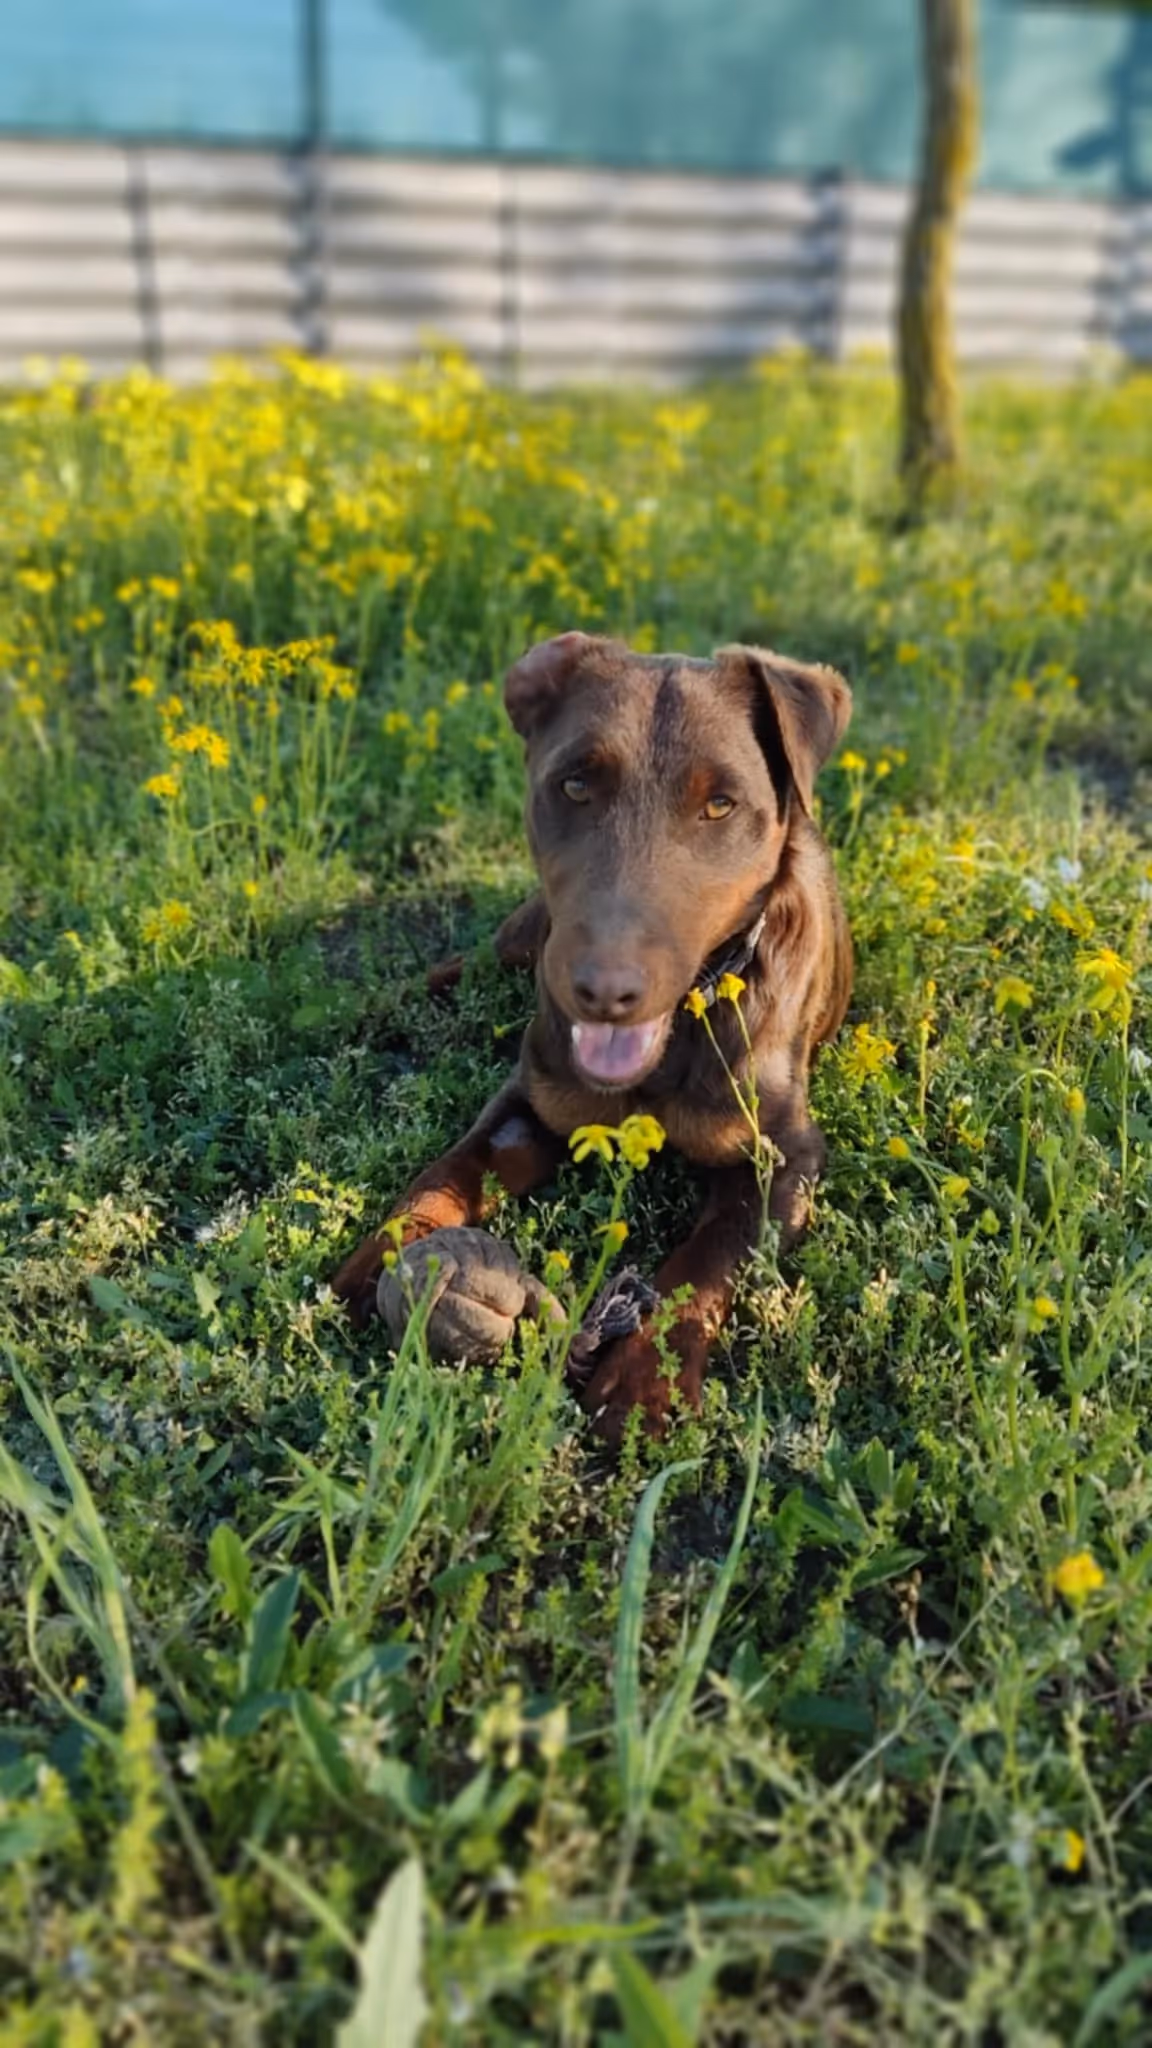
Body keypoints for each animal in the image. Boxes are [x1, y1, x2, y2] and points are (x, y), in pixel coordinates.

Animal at [332, 632, 853, 1441]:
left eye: (721, 804)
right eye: (576, 786)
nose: (605, 990)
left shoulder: (785, 1159)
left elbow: (706, 1260)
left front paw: (644, 1378)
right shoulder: (528, 1107)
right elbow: (442, 1176)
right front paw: (382, 1258)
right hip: (526, 935)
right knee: (467, 961)